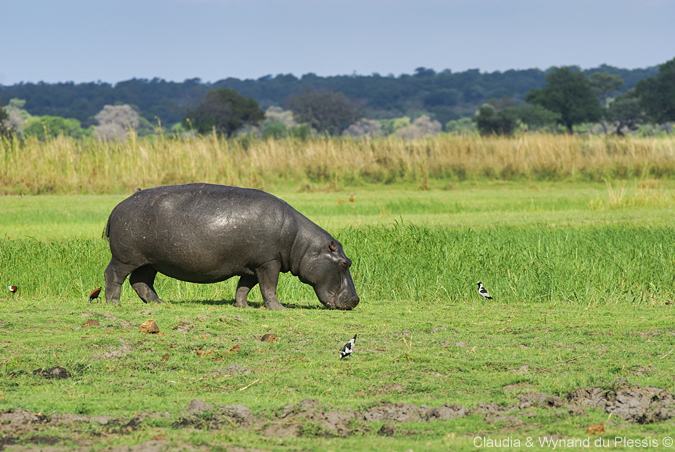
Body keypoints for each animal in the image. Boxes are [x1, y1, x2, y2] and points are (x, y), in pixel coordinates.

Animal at [101, 184, 360, 310]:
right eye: (345, 263)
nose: (356, 300)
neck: (302, 244)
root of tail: (115, 208)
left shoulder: (252, 265)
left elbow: (244, 286)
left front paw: (241, 306)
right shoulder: (269, 262)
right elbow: (269, 287)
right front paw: (280, 309)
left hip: (150, 261)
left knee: (141, 281)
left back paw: (160, 303)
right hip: (125, 257)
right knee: (113, 275)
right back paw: (114, 302)